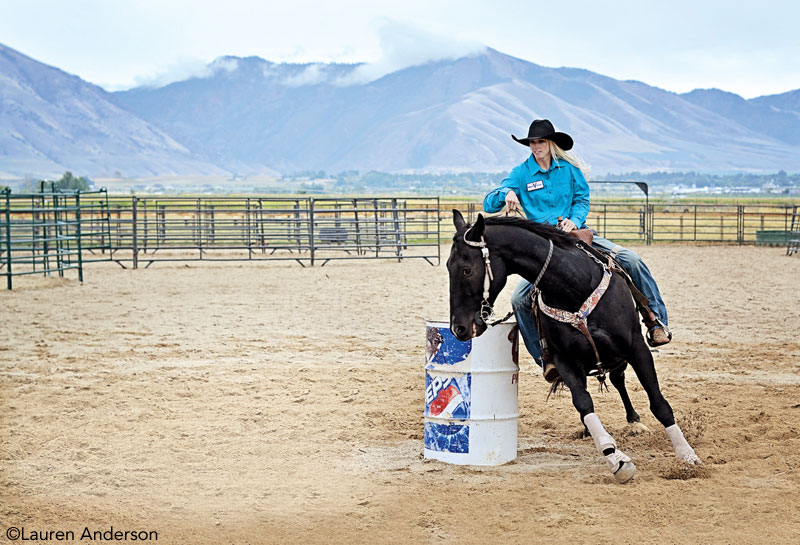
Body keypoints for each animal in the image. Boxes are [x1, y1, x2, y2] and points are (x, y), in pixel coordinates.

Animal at [450, 210, 700, 482]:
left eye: (466, 270)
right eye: (448, 266)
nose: (458, 328)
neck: (573, 286)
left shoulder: (637, 348)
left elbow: (659, 403)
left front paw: (687, 456)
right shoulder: (565, 360)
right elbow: (583, 403)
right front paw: (614, 456)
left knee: (619, 380)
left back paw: (635, 421)